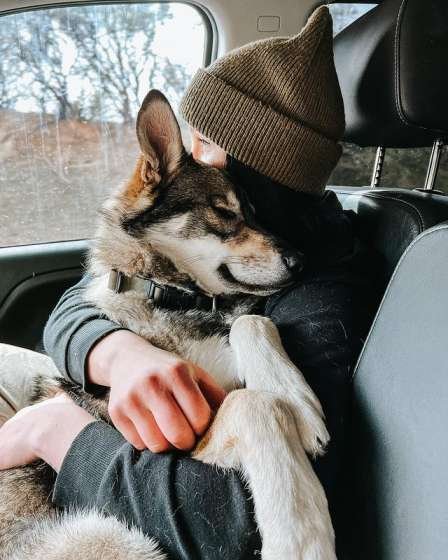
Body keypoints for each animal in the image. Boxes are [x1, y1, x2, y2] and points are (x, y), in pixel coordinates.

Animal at [0, 92, 336, 560]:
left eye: (254, 213)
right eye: (224, 212)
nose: (301, 261)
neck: (172, 294)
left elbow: (251, 321)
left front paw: (292, 393)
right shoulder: (176, 442)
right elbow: (256, 404)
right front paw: (301, 536)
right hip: (120, 540)